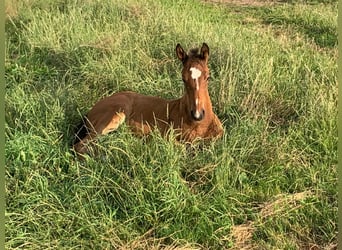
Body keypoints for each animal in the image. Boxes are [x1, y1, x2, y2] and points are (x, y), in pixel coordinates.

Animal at [73, 43, 223, 154]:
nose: (197, 114)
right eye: (183, 78)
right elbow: (184, 148)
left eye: (208, 77)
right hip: (115, 115)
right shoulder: (168, 136)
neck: (200, 125)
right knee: (80, 146)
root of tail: (91, 110)